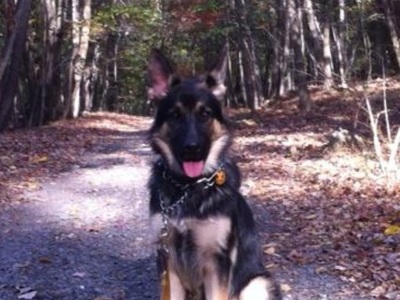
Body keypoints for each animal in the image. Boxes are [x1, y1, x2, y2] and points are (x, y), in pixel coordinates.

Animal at [147, 45, 282, 300]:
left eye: (205, 114)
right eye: (175, 115)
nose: (192, 149)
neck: (188, 188)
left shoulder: (217, 263)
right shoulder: (168, 263)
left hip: (256, 284)